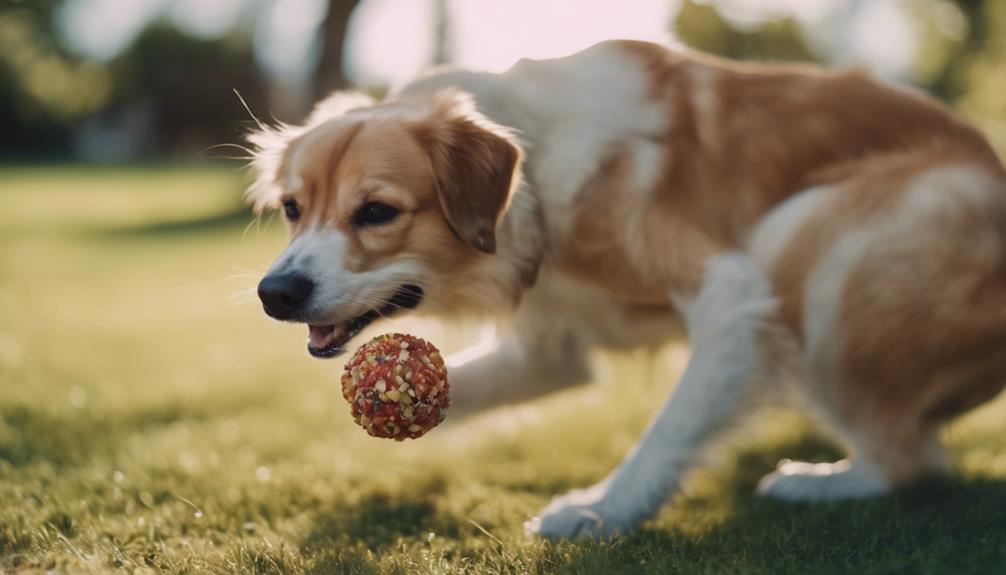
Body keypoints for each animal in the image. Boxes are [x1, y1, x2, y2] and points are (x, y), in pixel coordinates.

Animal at [249, 40, 1006, 538]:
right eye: (292, 207)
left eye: (377, 211)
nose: (275, 293)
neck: (533, 181)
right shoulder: (550, 348)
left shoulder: (732, 291)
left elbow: (671, 426)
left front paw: (601, 507)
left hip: (804, 238)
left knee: (912, 461)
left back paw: (817, 481)